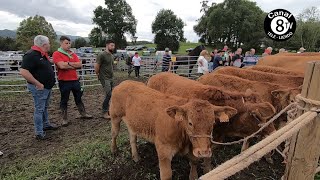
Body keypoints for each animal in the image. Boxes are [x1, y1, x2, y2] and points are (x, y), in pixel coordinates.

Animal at [110, 80, 238, 180]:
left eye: (213, 122)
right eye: (190, 123)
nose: (204, 152)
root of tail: (124, 83)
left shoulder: (192, 148)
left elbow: (194, 162)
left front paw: (193, 175)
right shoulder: (163, 150)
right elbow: (166, 175)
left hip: (133, 123)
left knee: (132, 138)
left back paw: (135, 157)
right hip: (115, 117)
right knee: (114, 134)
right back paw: (114, 150)